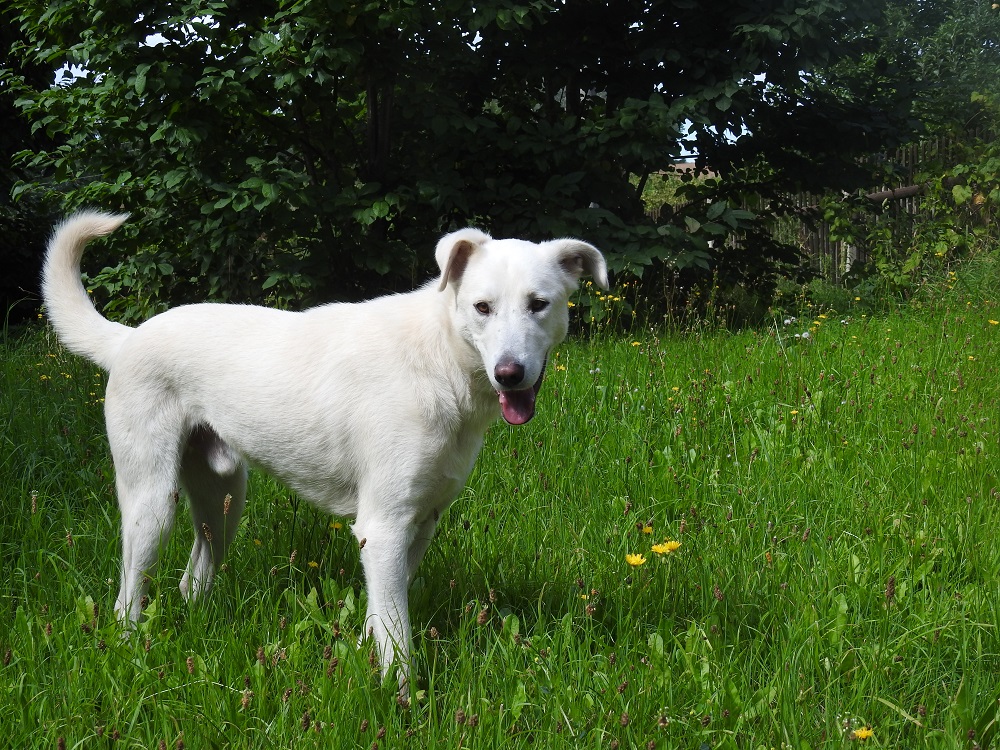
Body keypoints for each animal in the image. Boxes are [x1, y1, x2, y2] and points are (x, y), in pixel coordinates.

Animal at [42, 211, 607, 688]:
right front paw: (400, 702)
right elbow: (398, 634)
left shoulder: (419, 523)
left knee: (192, 577)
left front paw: (360, 660)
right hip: (152, 504)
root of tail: (128, 338)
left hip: (223, 503)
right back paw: (130, 648)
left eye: (539, 304)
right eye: (482, 308)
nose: (510, 373)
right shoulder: (384, 528)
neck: (440, 359)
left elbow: (381, 617)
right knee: (128, 596)